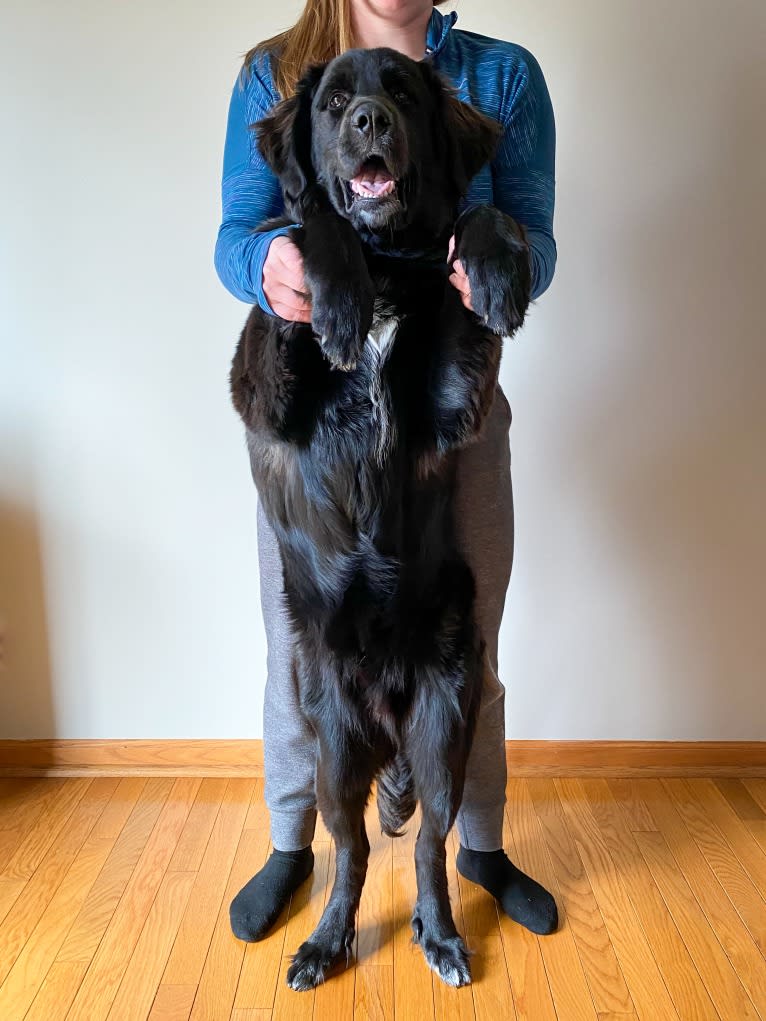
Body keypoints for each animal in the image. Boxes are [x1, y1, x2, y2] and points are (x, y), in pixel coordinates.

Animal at [230, 45, 531, 988]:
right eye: (333, 104)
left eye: (402, 92)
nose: (370, 120)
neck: (388, 261)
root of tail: (390, 713)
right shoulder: (263, 381)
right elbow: (309, 231)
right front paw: (337, 304)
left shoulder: (453, 397)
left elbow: (480, 215)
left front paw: (499, 272)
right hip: (330, 744)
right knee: (351, 850)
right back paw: (325, 940)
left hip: (445, 724)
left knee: (431, 842)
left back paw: (440, 935)